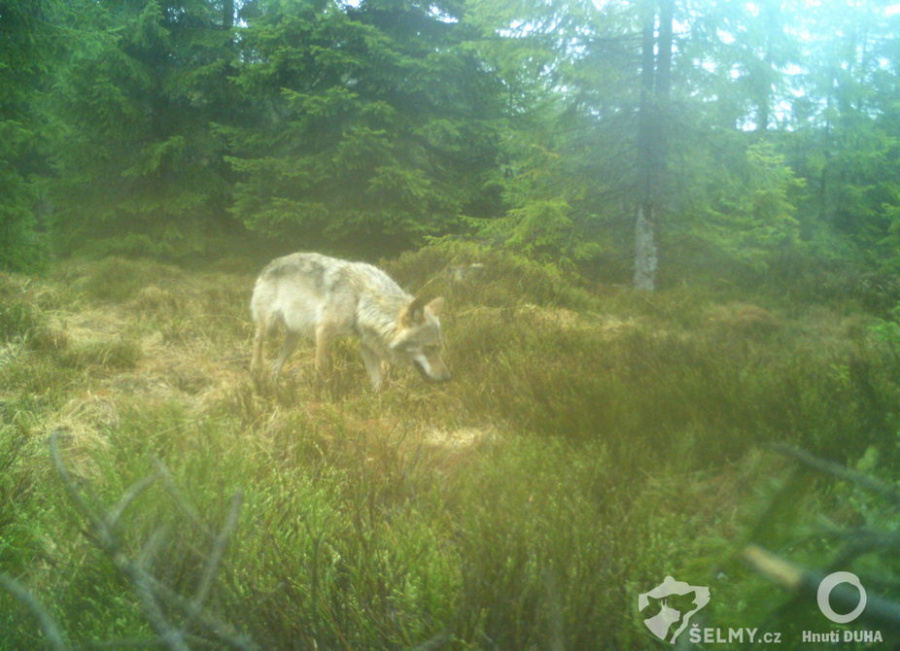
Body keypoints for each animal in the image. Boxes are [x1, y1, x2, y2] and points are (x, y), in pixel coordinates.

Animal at [251, 252, 450, 390]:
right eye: (429, 347)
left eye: (440, 348)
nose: (448, 377)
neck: (361, 300)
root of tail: (270, 264)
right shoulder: (323, 333)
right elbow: (321, 368)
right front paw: (321, 393)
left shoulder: (366, 345)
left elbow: (378, 381)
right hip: (268, 327)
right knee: (257, 344)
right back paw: (256, 376)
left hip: (293, 339)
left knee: (277, 364)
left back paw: (273, 384)